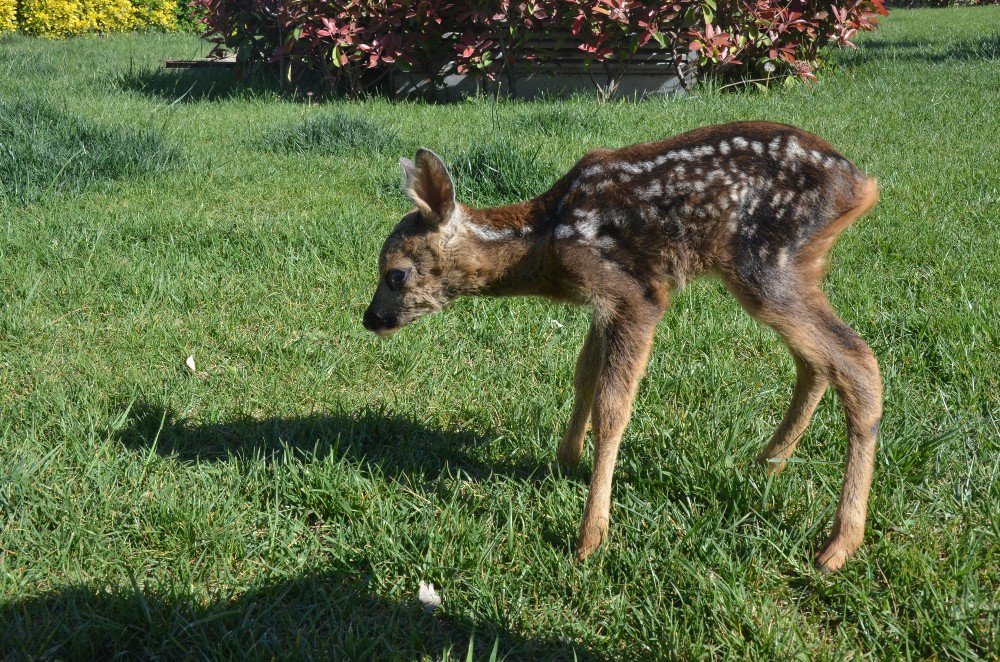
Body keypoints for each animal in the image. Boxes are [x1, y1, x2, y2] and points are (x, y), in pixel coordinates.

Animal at [364, 122, 880, 572]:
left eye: (395, 274)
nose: (370, 319)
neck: (544, 241)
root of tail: (861, 185)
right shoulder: (602, 303)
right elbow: (583, 378)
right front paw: (565, 460)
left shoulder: (635, 294)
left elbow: (612, 408)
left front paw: (591, 536)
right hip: (793, 269)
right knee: (818, 363)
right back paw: (766, 466)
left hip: (764, 263)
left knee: (856, 359)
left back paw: (838, 546)